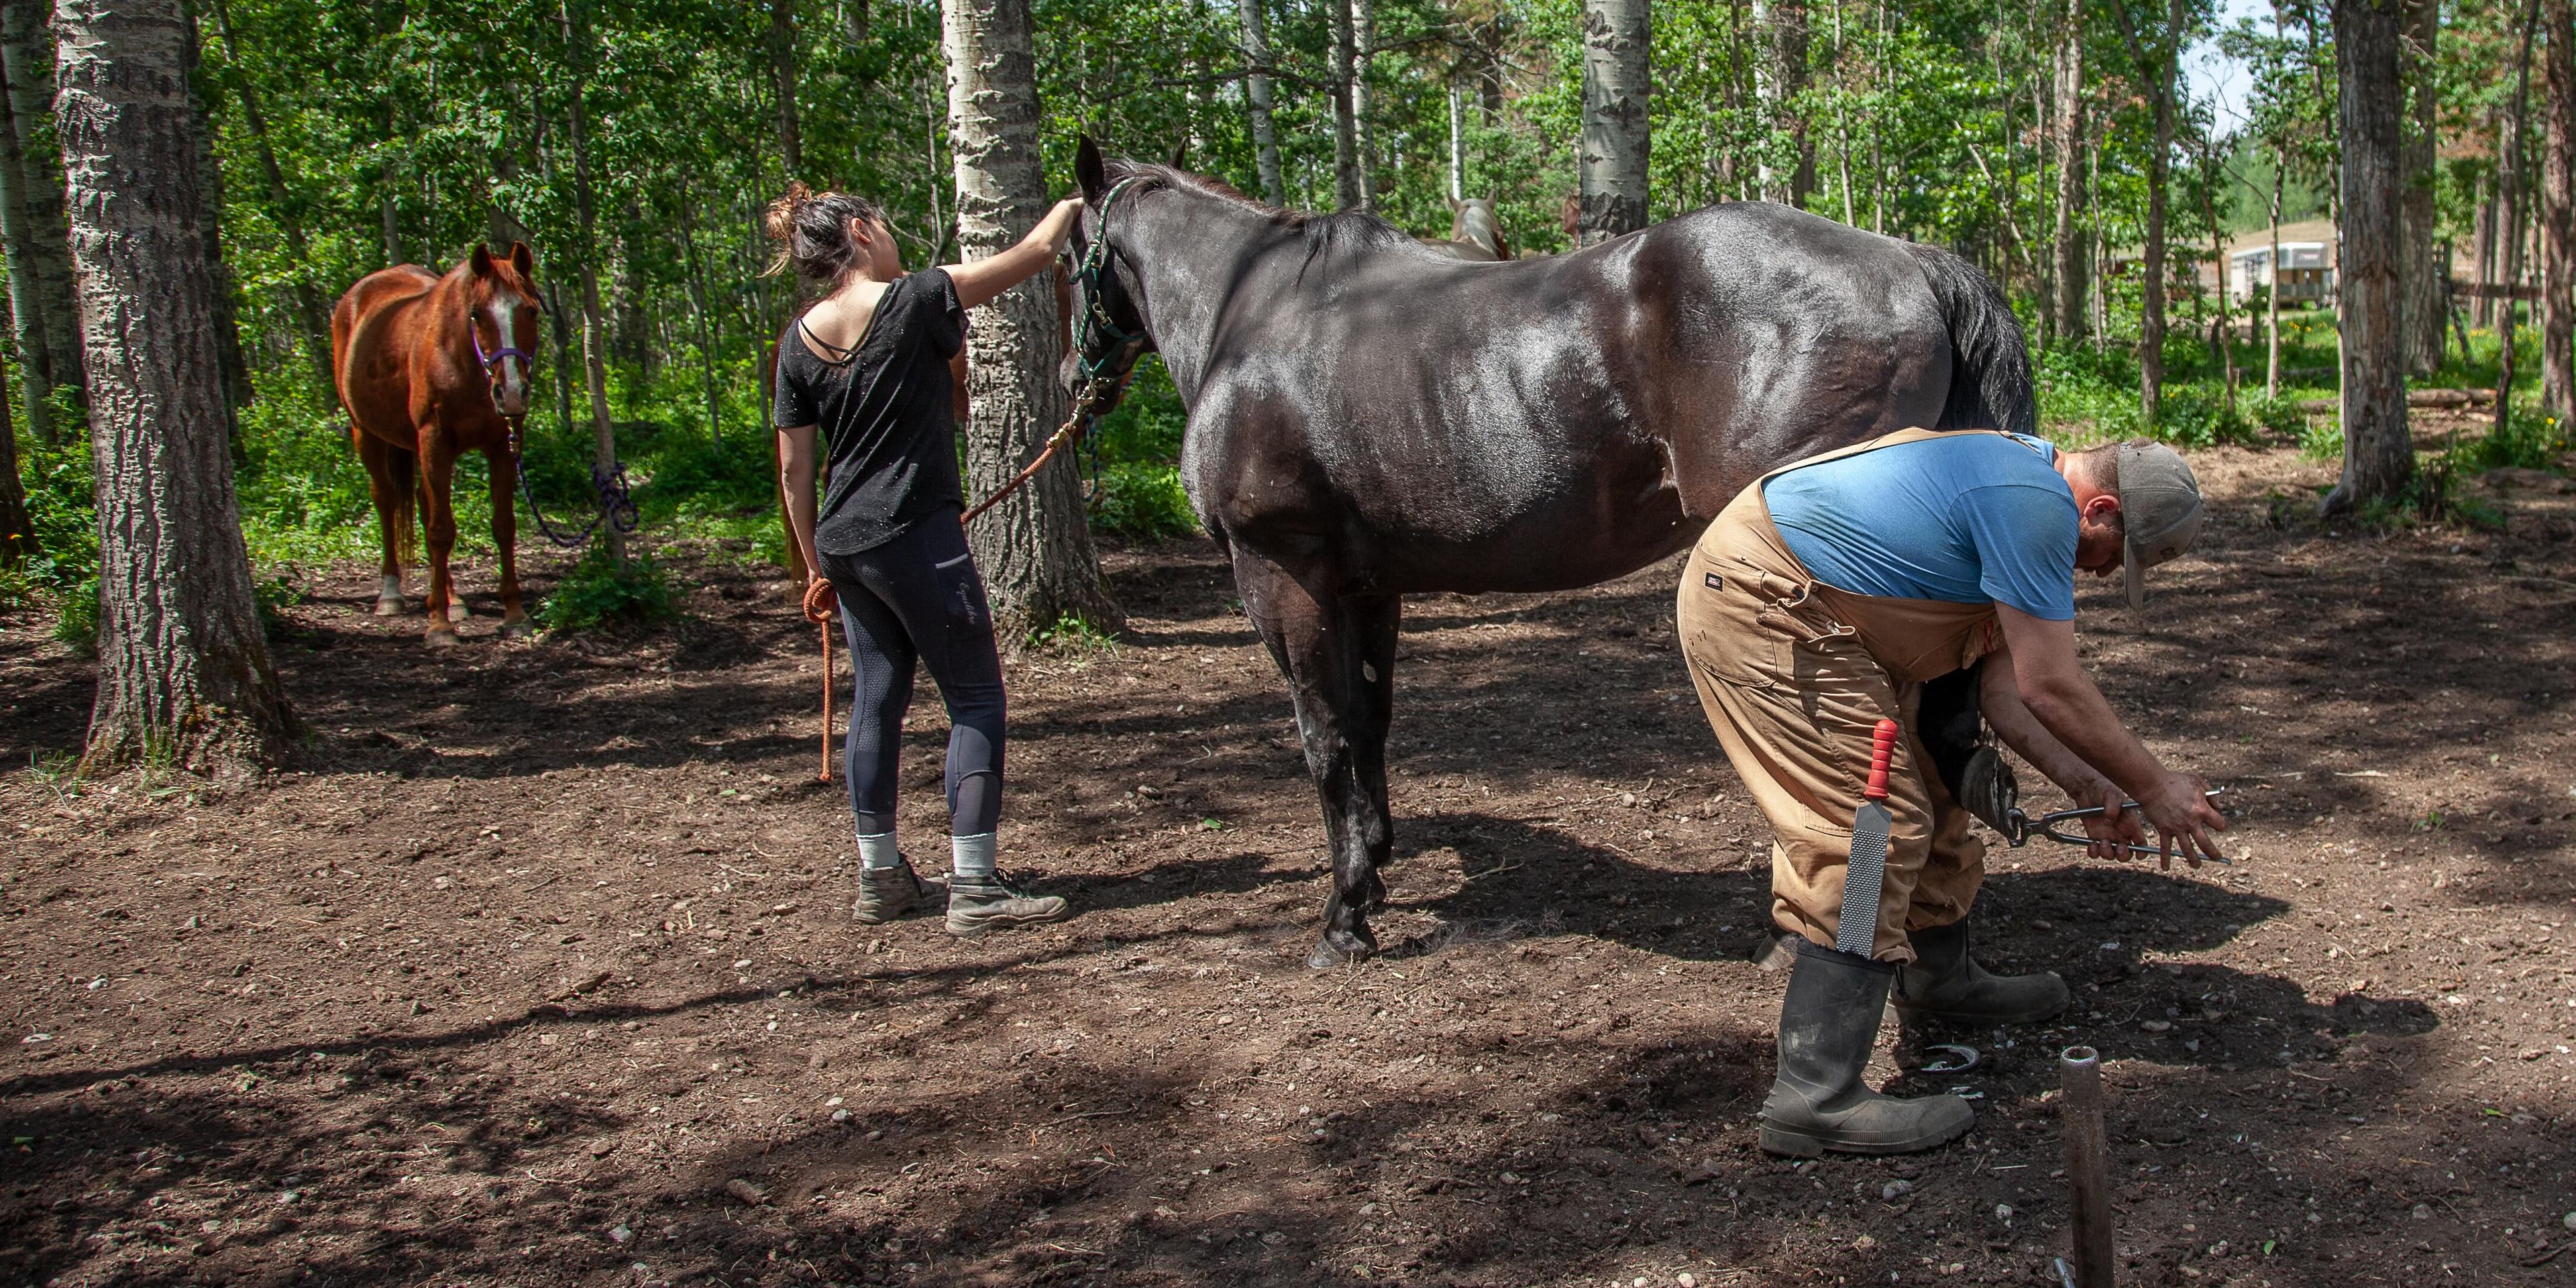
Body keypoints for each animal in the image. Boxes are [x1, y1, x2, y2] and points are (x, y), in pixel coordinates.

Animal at [333, 243, 542, 643]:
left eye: (532, 310)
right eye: (476, 314)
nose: (511, 391)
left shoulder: (503, 445)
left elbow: (503, 525)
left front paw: (514, 612)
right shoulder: (435, 441)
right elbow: (441, 530)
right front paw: (439, 626)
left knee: (424, 504)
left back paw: (452, 598)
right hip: (365, 431)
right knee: (386, 499)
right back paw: (391, 593)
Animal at [1061, 139, 2034, 969]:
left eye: (1071, 257)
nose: (1080, 380)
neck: (1252, 313)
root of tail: (1914, 264)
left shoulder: (1283, 575)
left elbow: (1325, 738)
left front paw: (1344, 919)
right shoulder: (1368, 589)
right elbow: (1370, 725)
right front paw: (1374, 871)